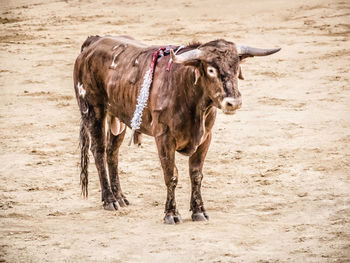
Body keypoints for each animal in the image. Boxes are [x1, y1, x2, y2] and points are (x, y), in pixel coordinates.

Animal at [72, 35, 280, 225]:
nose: (233, 103)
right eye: (211, 69)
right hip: (93, 109)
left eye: (237, 68)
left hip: (119, 117)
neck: (187, 90)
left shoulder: (205, 138)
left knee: (112, 152)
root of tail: (93, 43)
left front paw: (199, 211)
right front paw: (171, 214)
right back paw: (109, 200)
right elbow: (171, 175)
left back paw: (120, 197)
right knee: (98, 151)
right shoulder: (164, 138)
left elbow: (196, 174)